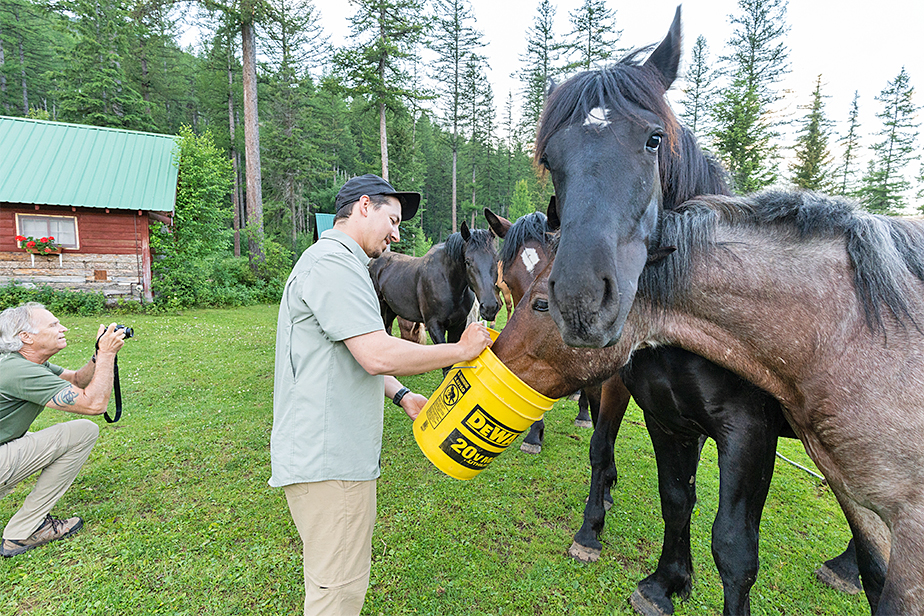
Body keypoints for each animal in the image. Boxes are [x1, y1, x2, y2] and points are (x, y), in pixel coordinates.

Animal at [368, 221, 498, 346]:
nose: (489, 308)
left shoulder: (458, 325)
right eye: (467, 261)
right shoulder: (434, 326)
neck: (449, 285)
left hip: (390, 311)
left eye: (496, 259)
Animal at [528, 6, 924, 616]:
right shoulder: (667, 420)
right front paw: (666, 583)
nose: (581, 299)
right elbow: (675, 500)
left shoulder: (749, 436)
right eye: (550, 159)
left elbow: (734, 546)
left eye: (654, 139)